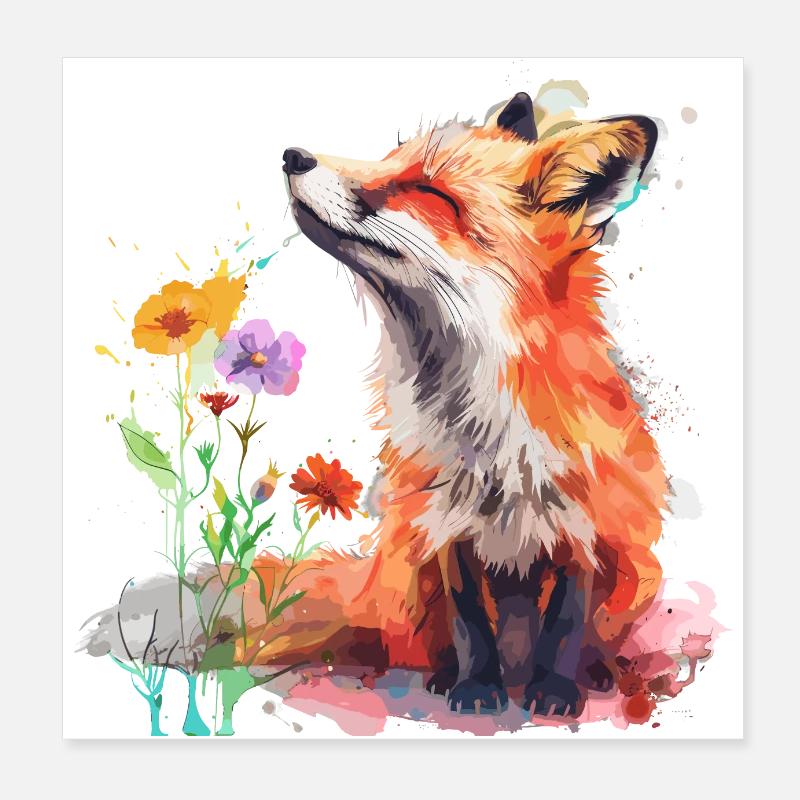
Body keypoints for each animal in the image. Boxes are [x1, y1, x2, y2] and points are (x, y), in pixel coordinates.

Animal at [233, 90, 669, 717]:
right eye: (389, 160)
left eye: (429, 192)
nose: (293, 155)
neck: (487, 430)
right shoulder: (443, 524)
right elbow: (469, 622)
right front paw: (476, 687)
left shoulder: (583, 524)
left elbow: (565, 622)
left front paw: (555, 692)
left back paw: (597, 673)